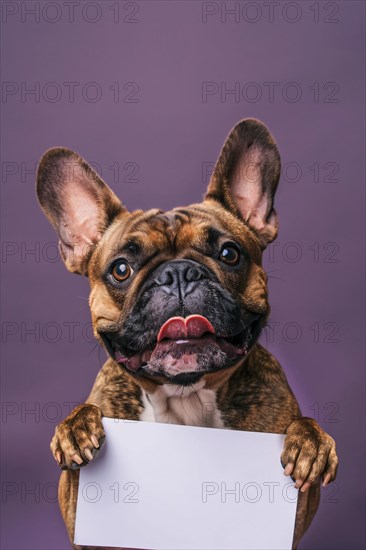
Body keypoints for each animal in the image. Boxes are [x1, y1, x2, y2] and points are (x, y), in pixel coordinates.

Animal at [36, 121, 338, 550]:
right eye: (121, 269)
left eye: (230, 253)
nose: (178, 273)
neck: (186, 398)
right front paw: (74, 430)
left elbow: (302, 429)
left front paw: (310, 442)